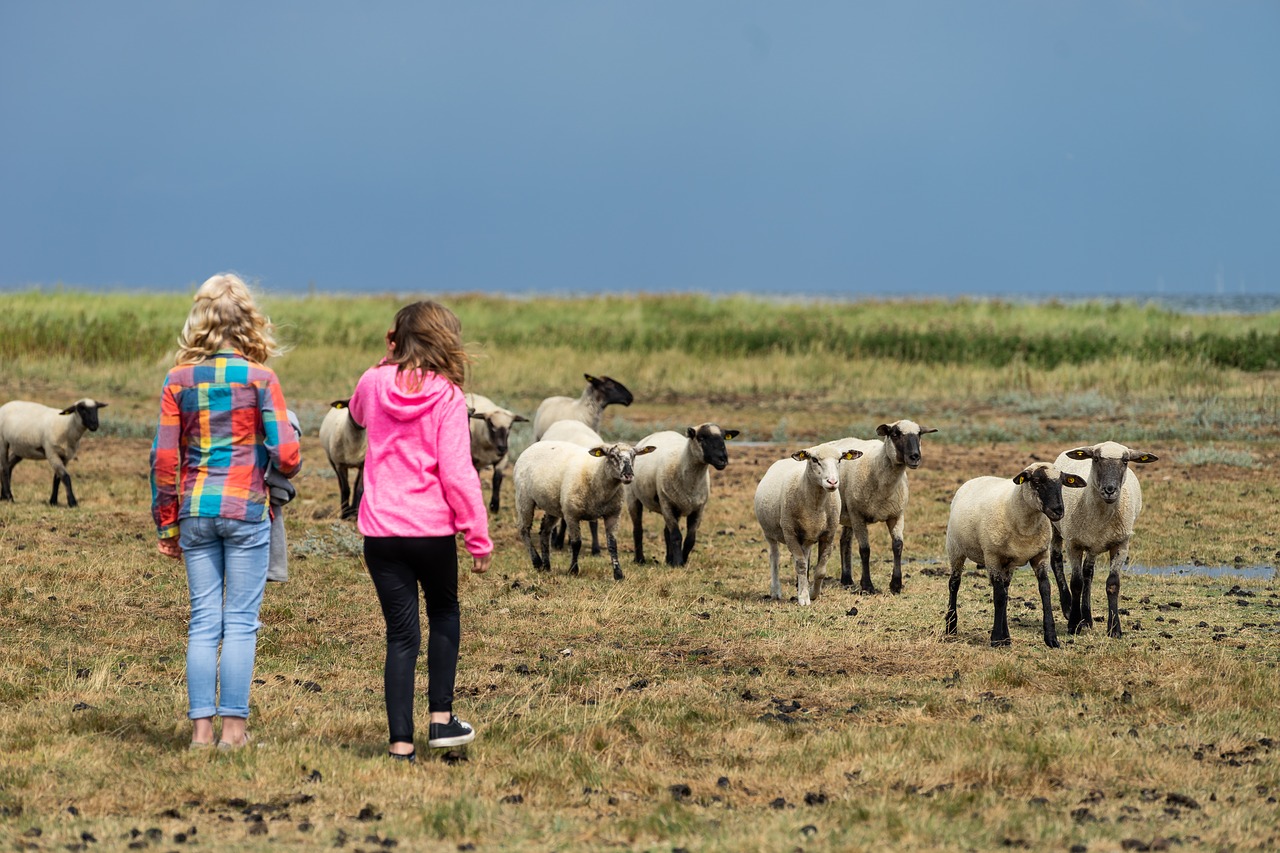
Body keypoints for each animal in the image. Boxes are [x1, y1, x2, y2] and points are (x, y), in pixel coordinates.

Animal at [622, 420, 742, 563]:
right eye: (701, 438)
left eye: (724, 438)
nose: (723, 459)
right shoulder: (666, 503)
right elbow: (676, 536)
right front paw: (678, 562)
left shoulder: (698, 509)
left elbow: (690, 539)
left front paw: (682, 561)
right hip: (633, 497)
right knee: (638, 529)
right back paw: (640, 560)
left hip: (676, 506)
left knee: (665, 532)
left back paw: (668, 560)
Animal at [747, 445, 860, 604]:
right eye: (814, 459)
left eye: (839, 459)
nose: (832, 482)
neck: (816, 504)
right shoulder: (790, 533)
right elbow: (800, 566)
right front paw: (804, 598)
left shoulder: (828, 535)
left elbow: (819, 571)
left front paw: (812, 593)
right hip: (769, 533)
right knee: (774, 557)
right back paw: (776, 591)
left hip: (807, 538)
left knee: (804, 558)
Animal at [814, 417, 936, 591]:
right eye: (895, 434)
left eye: (919, 434)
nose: (915, 457)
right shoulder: (858, 515)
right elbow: (865, 550)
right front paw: (867, 585)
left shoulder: (896, 515)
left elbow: (897, 546)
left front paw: (896, 584)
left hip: (849, 514)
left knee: (845, 542)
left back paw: (847, 580)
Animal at [947, 461, 1085, 648]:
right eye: (1036, 482)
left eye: (1062, 483)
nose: (1058, 511)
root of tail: (973, 480)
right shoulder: (992, 557)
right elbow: (998, 596)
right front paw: (996, 638)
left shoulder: (1040, 555)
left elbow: (1044, 590)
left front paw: (1051, 638)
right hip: (955, 548)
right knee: (954, 584)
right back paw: (951, 628)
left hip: (1008, 563)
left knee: (1005, 591)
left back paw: (1006, 637)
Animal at [1049, 440, 1162, 635]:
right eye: (1096, 459)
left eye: (1125, 461)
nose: (1110, 490)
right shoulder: (1074, 543)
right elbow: (1076, 583)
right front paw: (1073, 624)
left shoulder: (1121, 544)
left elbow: (1112, 584)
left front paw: (1115, 628)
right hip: (1056, 524)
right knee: (1056, 559)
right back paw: (1068, 608)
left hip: (1093, 543)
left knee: (1088, 572)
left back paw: (1087, 618)